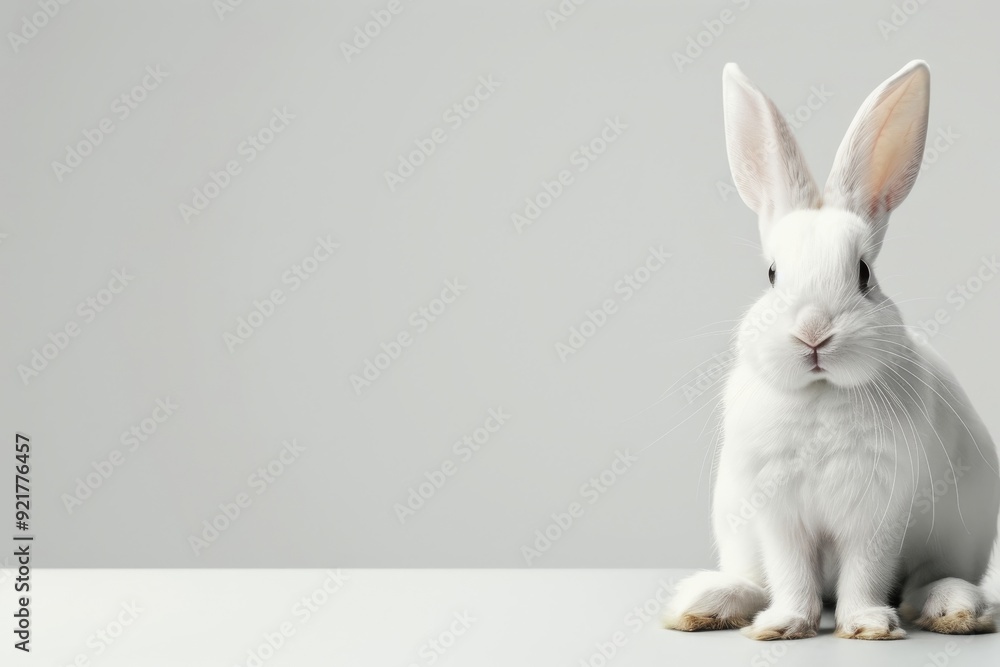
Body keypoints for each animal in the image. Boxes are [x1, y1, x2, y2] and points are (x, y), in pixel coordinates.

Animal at [663, 60, 1000, 640]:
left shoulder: (877, 512)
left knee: (924, 581)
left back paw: (955, 608)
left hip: (958, 537)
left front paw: (865, 625)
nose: (813, 332)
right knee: (755, 580)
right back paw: (705, 604)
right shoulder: (776, 511)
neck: (821, 394)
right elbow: (791, 573)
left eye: (864, 274)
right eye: (772, 274)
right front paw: (785, 626)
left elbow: (866, 571)